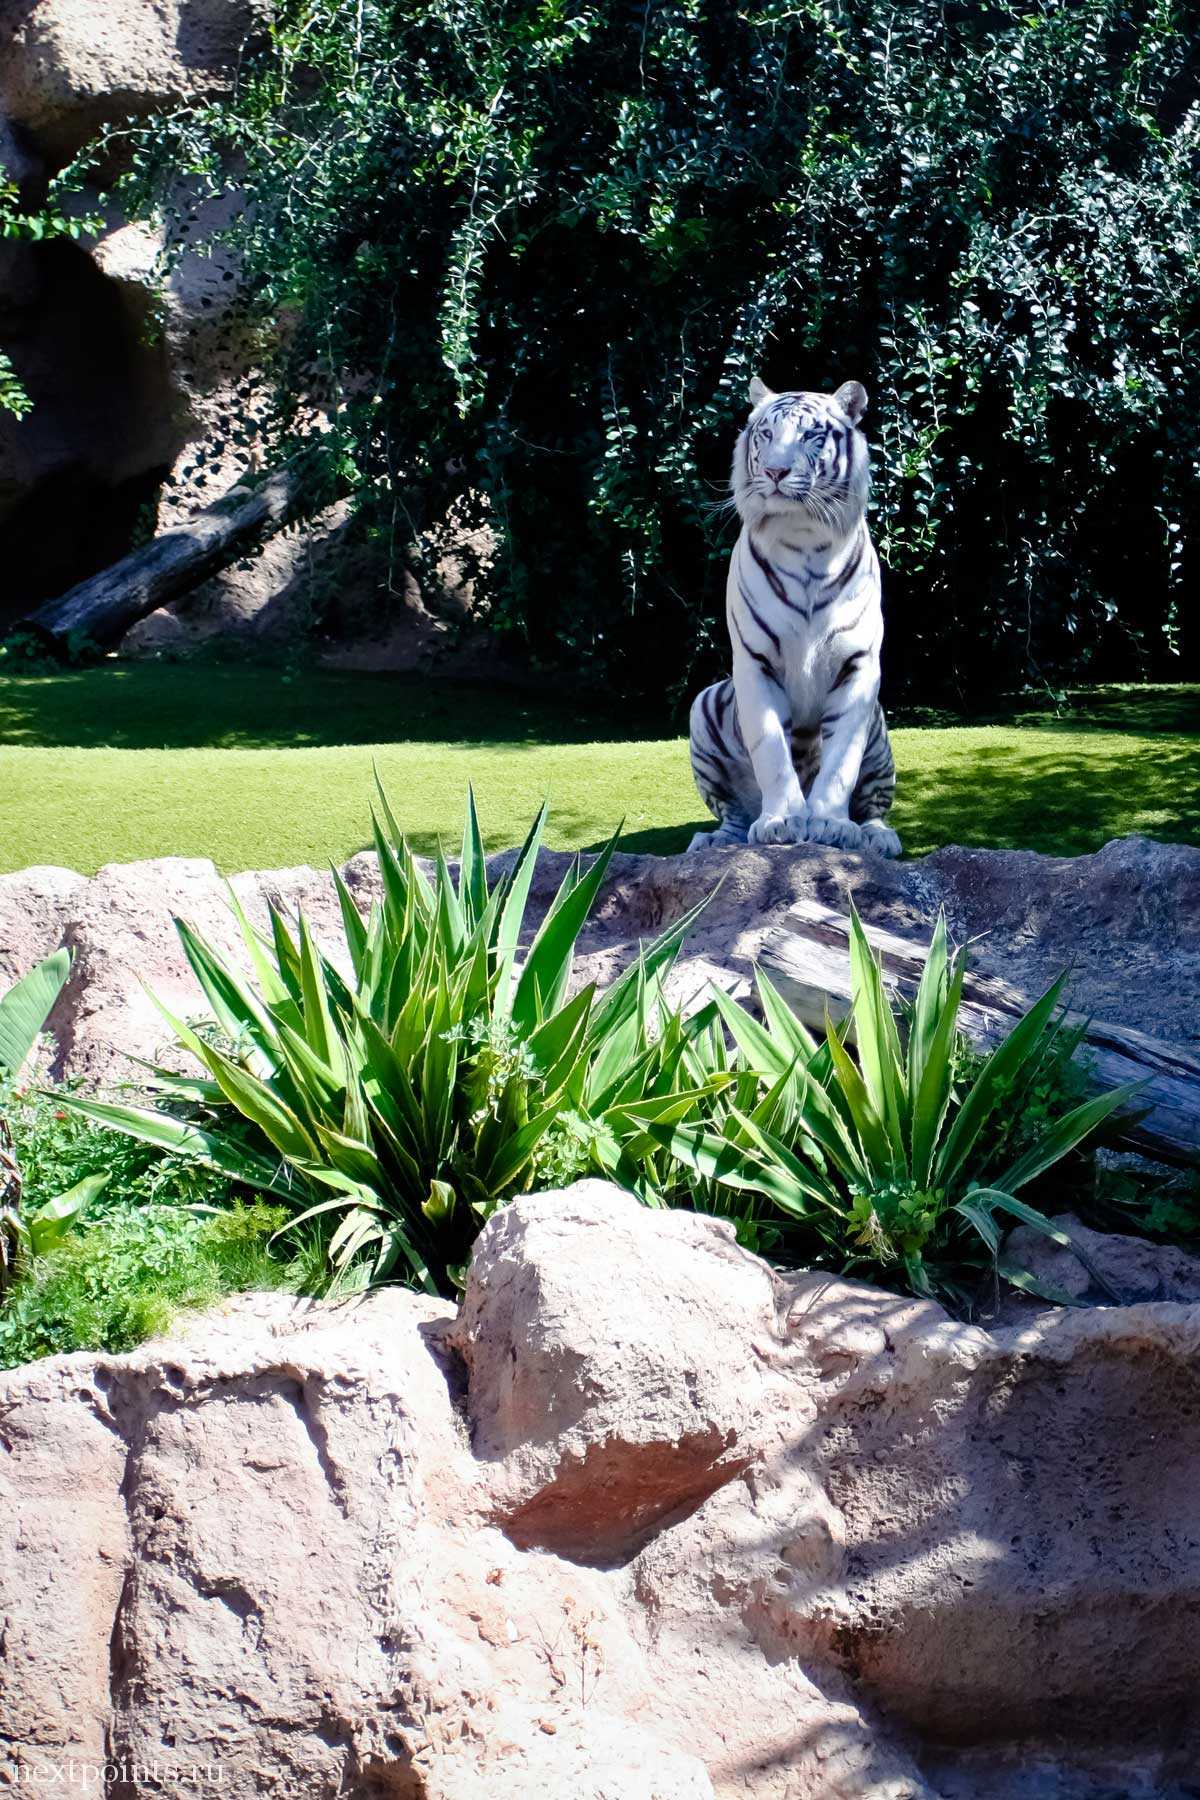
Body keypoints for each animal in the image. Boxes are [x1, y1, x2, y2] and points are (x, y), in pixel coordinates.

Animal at [687, 376, 901, 858]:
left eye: (810, 436)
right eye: (765, 434)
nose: (775, 472)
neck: (804, 537)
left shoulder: (859, 665)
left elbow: (842, 759)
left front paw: (830, 824)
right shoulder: (755, 663)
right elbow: (770, 749)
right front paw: (782, 821)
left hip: (880, 735)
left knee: (874, 803)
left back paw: (878, 836)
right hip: (703, 707)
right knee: (732, 814)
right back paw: (713, 841)